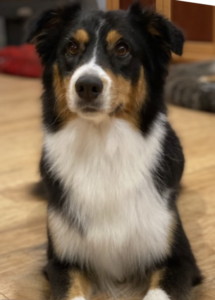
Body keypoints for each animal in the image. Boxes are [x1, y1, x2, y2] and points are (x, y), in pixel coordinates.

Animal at [27, 2, 202, 300]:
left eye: (122, 49)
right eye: (71, 47)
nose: (87, 86)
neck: (102, 145)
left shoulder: (180, 259)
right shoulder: (62, 262)